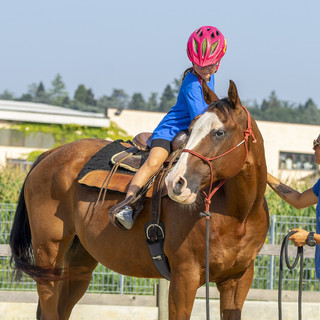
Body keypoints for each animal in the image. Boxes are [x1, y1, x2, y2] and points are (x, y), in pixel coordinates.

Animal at [10, 80, 268, 320]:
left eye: (219, 132)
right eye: (192, 129)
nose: (176, 182)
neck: (239, 215)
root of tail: (51, 153)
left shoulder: (238, 281)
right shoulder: (184, 277)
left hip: (79, 262)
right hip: (48, 255)